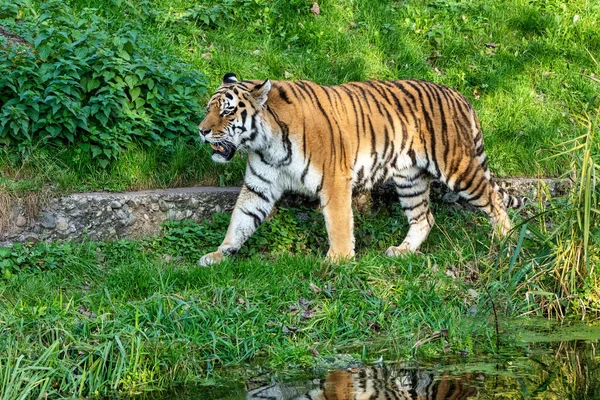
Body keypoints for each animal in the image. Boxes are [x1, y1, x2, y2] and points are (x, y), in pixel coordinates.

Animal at [196, 72, 520, 266]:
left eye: (227, 111)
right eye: (208, 109)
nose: (201, 130)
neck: (265, 143)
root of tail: (459, 96)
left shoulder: (334, 180)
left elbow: (338, 223)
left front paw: (337, 261)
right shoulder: (259, 185)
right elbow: (240, 219)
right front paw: (219, 253)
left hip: (457, 166)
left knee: (494, 198)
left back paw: (506, 240)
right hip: (410, 178)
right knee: (424, 217)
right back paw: (401, 252)